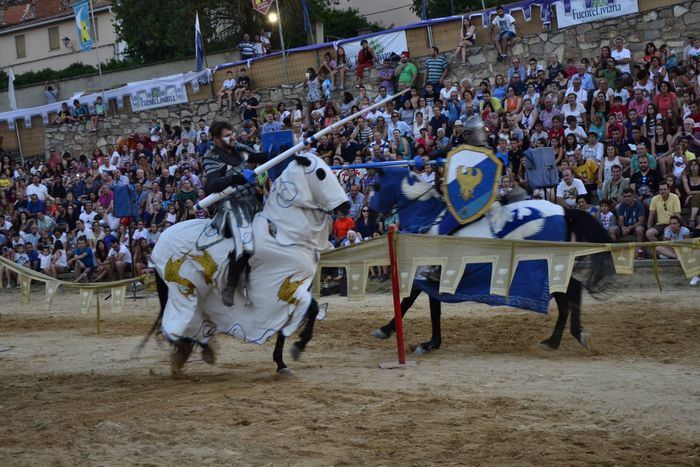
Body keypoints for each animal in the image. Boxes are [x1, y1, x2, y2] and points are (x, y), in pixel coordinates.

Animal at [146, 154, 350, 376]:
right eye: (321, 174)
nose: (346, 207)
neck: (284, 235)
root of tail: (161, 239)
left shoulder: (293, 287)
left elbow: (294, 322)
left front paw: (282, 362)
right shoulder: (281, 290)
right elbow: (311, 309)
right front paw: (298, 347)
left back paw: (200, 349)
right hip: (180, 292)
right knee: (174, 325)